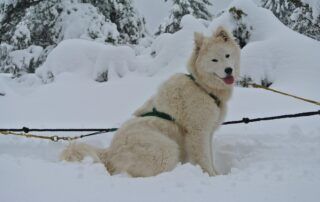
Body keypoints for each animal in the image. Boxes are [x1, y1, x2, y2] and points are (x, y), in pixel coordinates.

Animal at [60, 26, 240, 177]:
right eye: (214, 60)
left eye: (227, 55)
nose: (228, 70)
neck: (202, 87)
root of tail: (110, 152)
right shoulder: (198, 132)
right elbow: (204, 158)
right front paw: (212, 175)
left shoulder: (208, 131)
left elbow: (210, 155)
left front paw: (217, 173)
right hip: (167, 148)